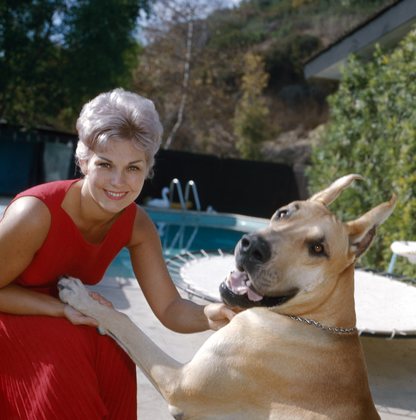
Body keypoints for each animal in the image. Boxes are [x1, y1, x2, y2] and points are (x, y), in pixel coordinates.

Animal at [57, 173, 394, 416]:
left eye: (318, 248)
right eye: (283, 213)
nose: (252, 246)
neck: (313, 320)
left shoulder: (181, 384)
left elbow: (126, 323)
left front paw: (83, 299)